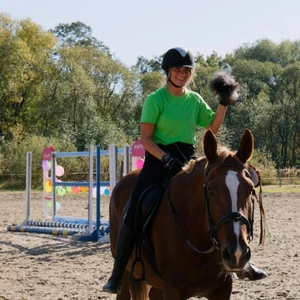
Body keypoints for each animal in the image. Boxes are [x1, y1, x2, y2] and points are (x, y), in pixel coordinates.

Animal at [108, 129, 264, 300]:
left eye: (250, 189)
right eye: (211, 191)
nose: (236, 253)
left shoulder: (222, 288)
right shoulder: (172, 289)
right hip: (127, 272)